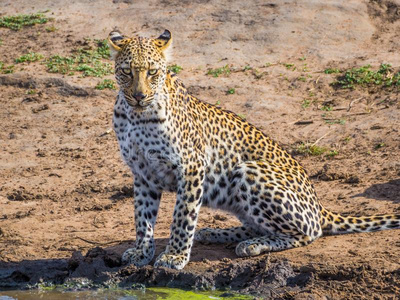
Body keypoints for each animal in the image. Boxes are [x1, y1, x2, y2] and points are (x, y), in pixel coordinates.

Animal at [107, 29, 400, 270]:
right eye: (127, 72)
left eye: (152, 72)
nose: (139, 96)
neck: (135, 116)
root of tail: (319, 206)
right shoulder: (143, 173)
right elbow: (142, 217)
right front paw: (142, 252)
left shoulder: (191, 166)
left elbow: (182, 216)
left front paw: (174, 256)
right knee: (255, 225)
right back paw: (215, 233)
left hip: (249, 171)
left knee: (308, 233)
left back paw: (253, 245)